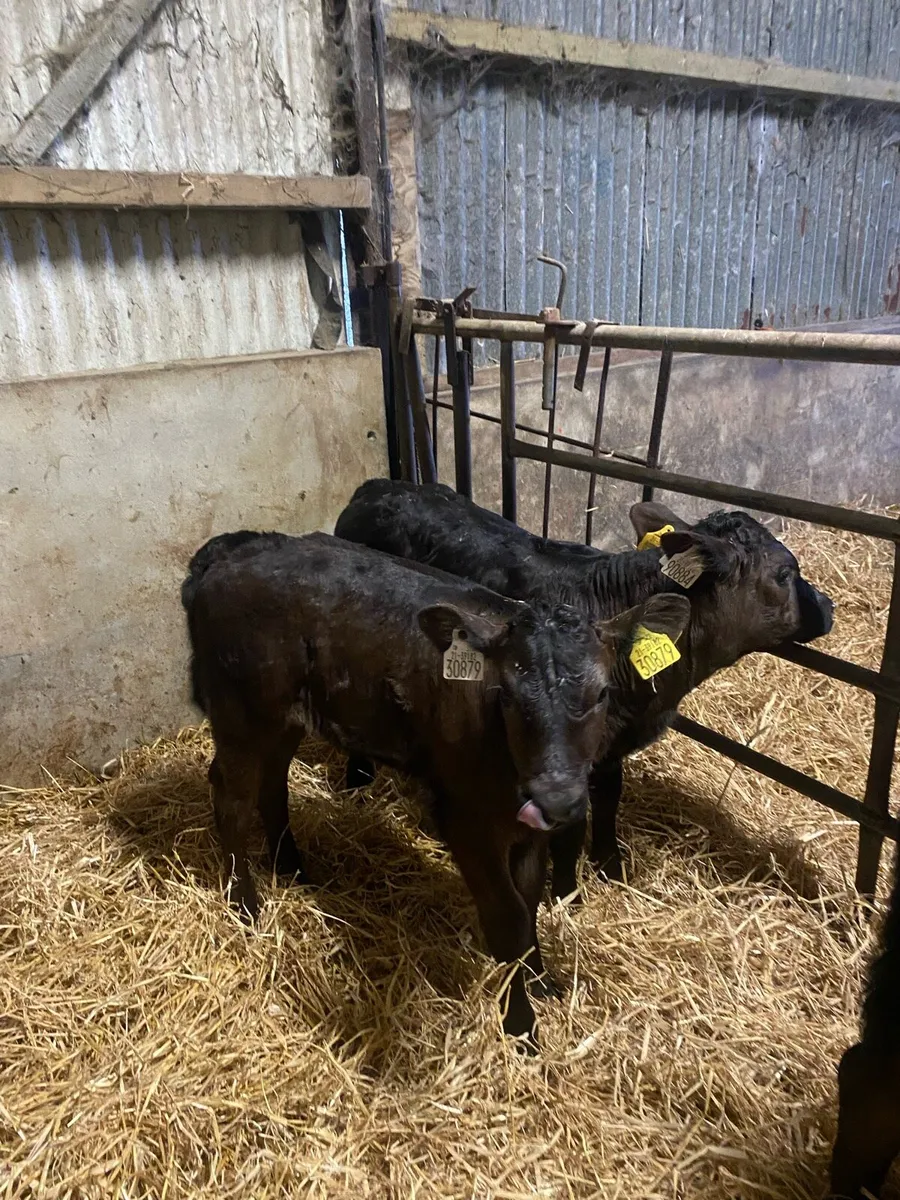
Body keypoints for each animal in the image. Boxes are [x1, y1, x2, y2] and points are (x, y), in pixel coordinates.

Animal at [181, 528, 690, 1042]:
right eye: (506, 695)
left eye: (602, 692)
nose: (556, 798)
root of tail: (232, 549)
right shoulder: (464, 818)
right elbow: (508, 916)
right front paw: (521, 1026)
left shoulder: (530, 828)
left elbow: (529, 902)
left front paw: (540, 979)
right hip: (241, 711)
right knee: (231, 797)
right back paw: (245, 904)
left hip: (285, 715)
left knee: (273, 785)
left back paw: (293, 869)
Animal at [334, 480, 835, 900]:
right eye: (784, 574)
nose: (828, 606)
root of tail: (376, 486)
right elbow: (569, 826)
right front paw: (565, 893)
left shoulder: (611, 743)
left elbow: (610, 797)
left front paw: (611, 864)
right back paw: (356, 780)